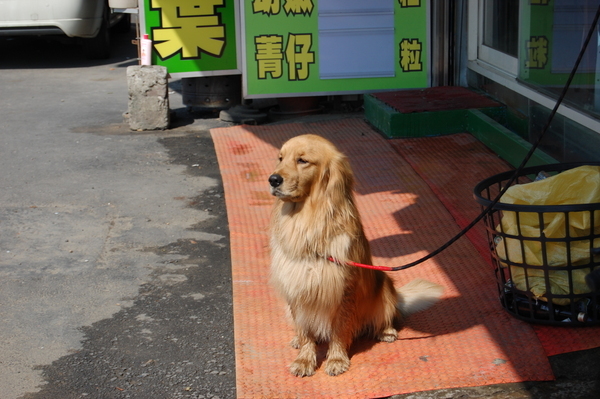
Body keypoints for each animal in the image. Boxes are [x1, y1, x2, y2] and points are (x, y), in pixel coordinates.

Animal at [270, 134, 442, 378]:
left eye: (302, 160)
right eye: (280, 158)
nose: (273, 179)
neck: (308, 221)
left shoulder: (344, 288)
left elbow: (339, 330)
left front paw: (336, 358)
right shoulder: (296, 283)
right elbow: (305, 331)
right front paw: (304, 359)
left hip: (384, 282)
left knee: (389, 315)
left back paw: (387, 331)